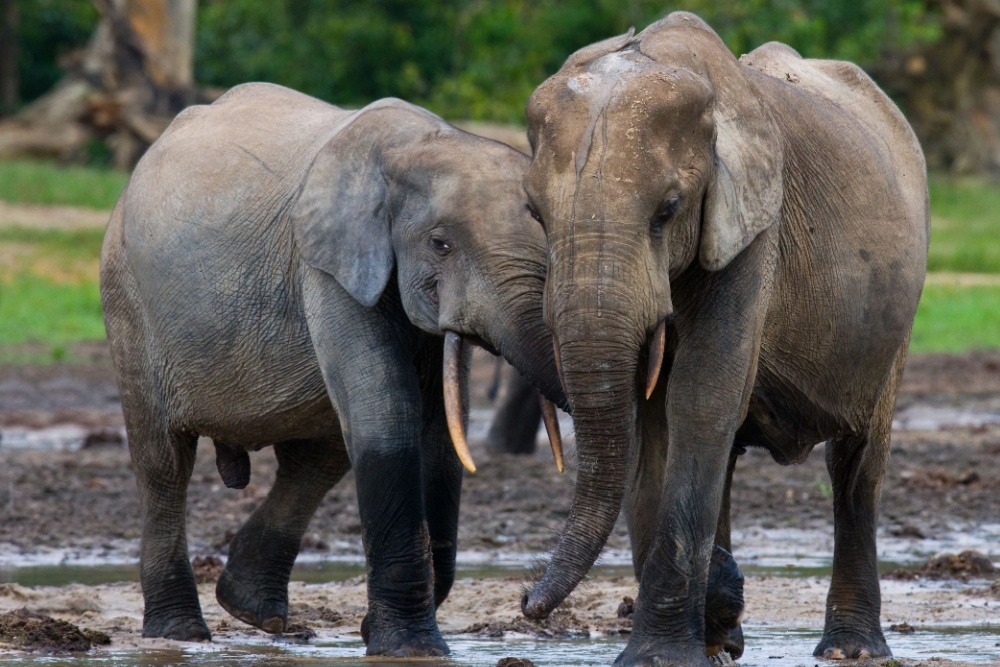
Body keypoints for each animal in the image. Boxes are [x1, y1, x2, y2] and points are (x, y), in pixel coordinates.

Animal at [102, 82, 572, 656]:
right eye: (441, 244)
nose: (529, 602)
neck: (419, 146)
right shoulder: (328, 266)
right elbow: (388, 418)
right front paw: (409, 650)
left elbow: (440, 438)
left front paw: (383, 634)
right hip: (126, 298)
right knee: (164, 464)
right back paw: (180, 633)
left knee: (318, 456)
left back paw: (253, 611)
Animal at [516, 11, 928, 667]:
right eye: (535, 214)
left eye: (668, 210)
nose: (527, 601)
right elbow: (652, 420)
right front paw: (709, 621)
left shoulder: (754, 228)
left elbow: (701, 395)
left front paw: (662, 653)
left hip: (897, 319)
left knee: (857, 465)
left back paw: (850, 649)